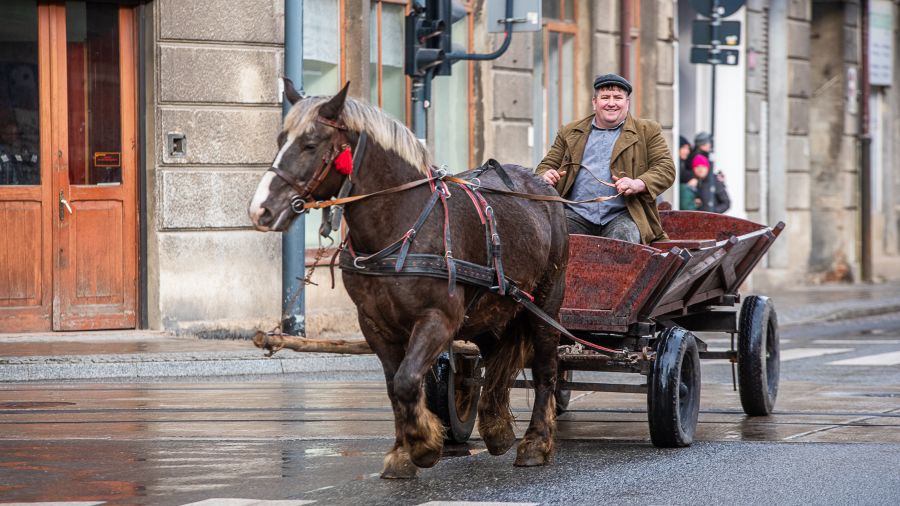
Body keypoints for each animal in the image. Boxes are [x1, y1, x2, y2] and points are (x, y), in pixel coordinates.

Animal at [250, 82, 568, 478]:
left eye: (310, 144)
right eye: (281, 140)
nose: (261, 210)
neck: (402, 223)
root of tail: (542, 186)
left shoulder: (438, 318)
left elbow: (406, 380)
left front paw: (424, 445)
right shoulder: (375, 324)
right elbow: (394, 384)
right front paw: (403, 451)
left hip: (546, 303)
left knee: (545, 369)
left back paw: (536, 442)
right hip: (490, 310)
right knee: (495, 363)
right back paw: (497, 429)